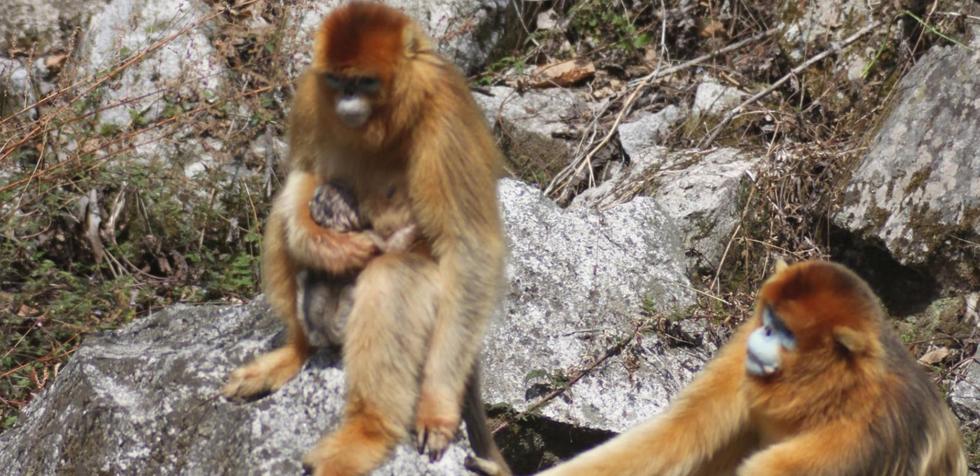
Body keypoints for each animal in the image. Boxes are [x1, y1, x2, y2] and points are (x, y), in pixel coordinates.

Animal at [223, 2, 510, 472]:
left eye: (365, 82)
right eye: (339, 81)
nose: (347, 101)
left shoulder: (445, 114)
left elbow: (469, 249)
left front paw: (437, 405)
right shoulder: (310, 95)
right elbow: (301, 174)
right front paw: (323, 243)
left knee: (393, 277)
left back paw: (368, 432)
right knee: (283, 215)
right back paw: (297, 350)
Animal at [540, 260, 968, 476]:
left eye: (784, 331)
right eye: (768, 319)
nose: (762, 332)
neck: (832, 394)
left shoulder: (859, 438)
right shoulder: (740, 361)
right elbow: (680, 433)